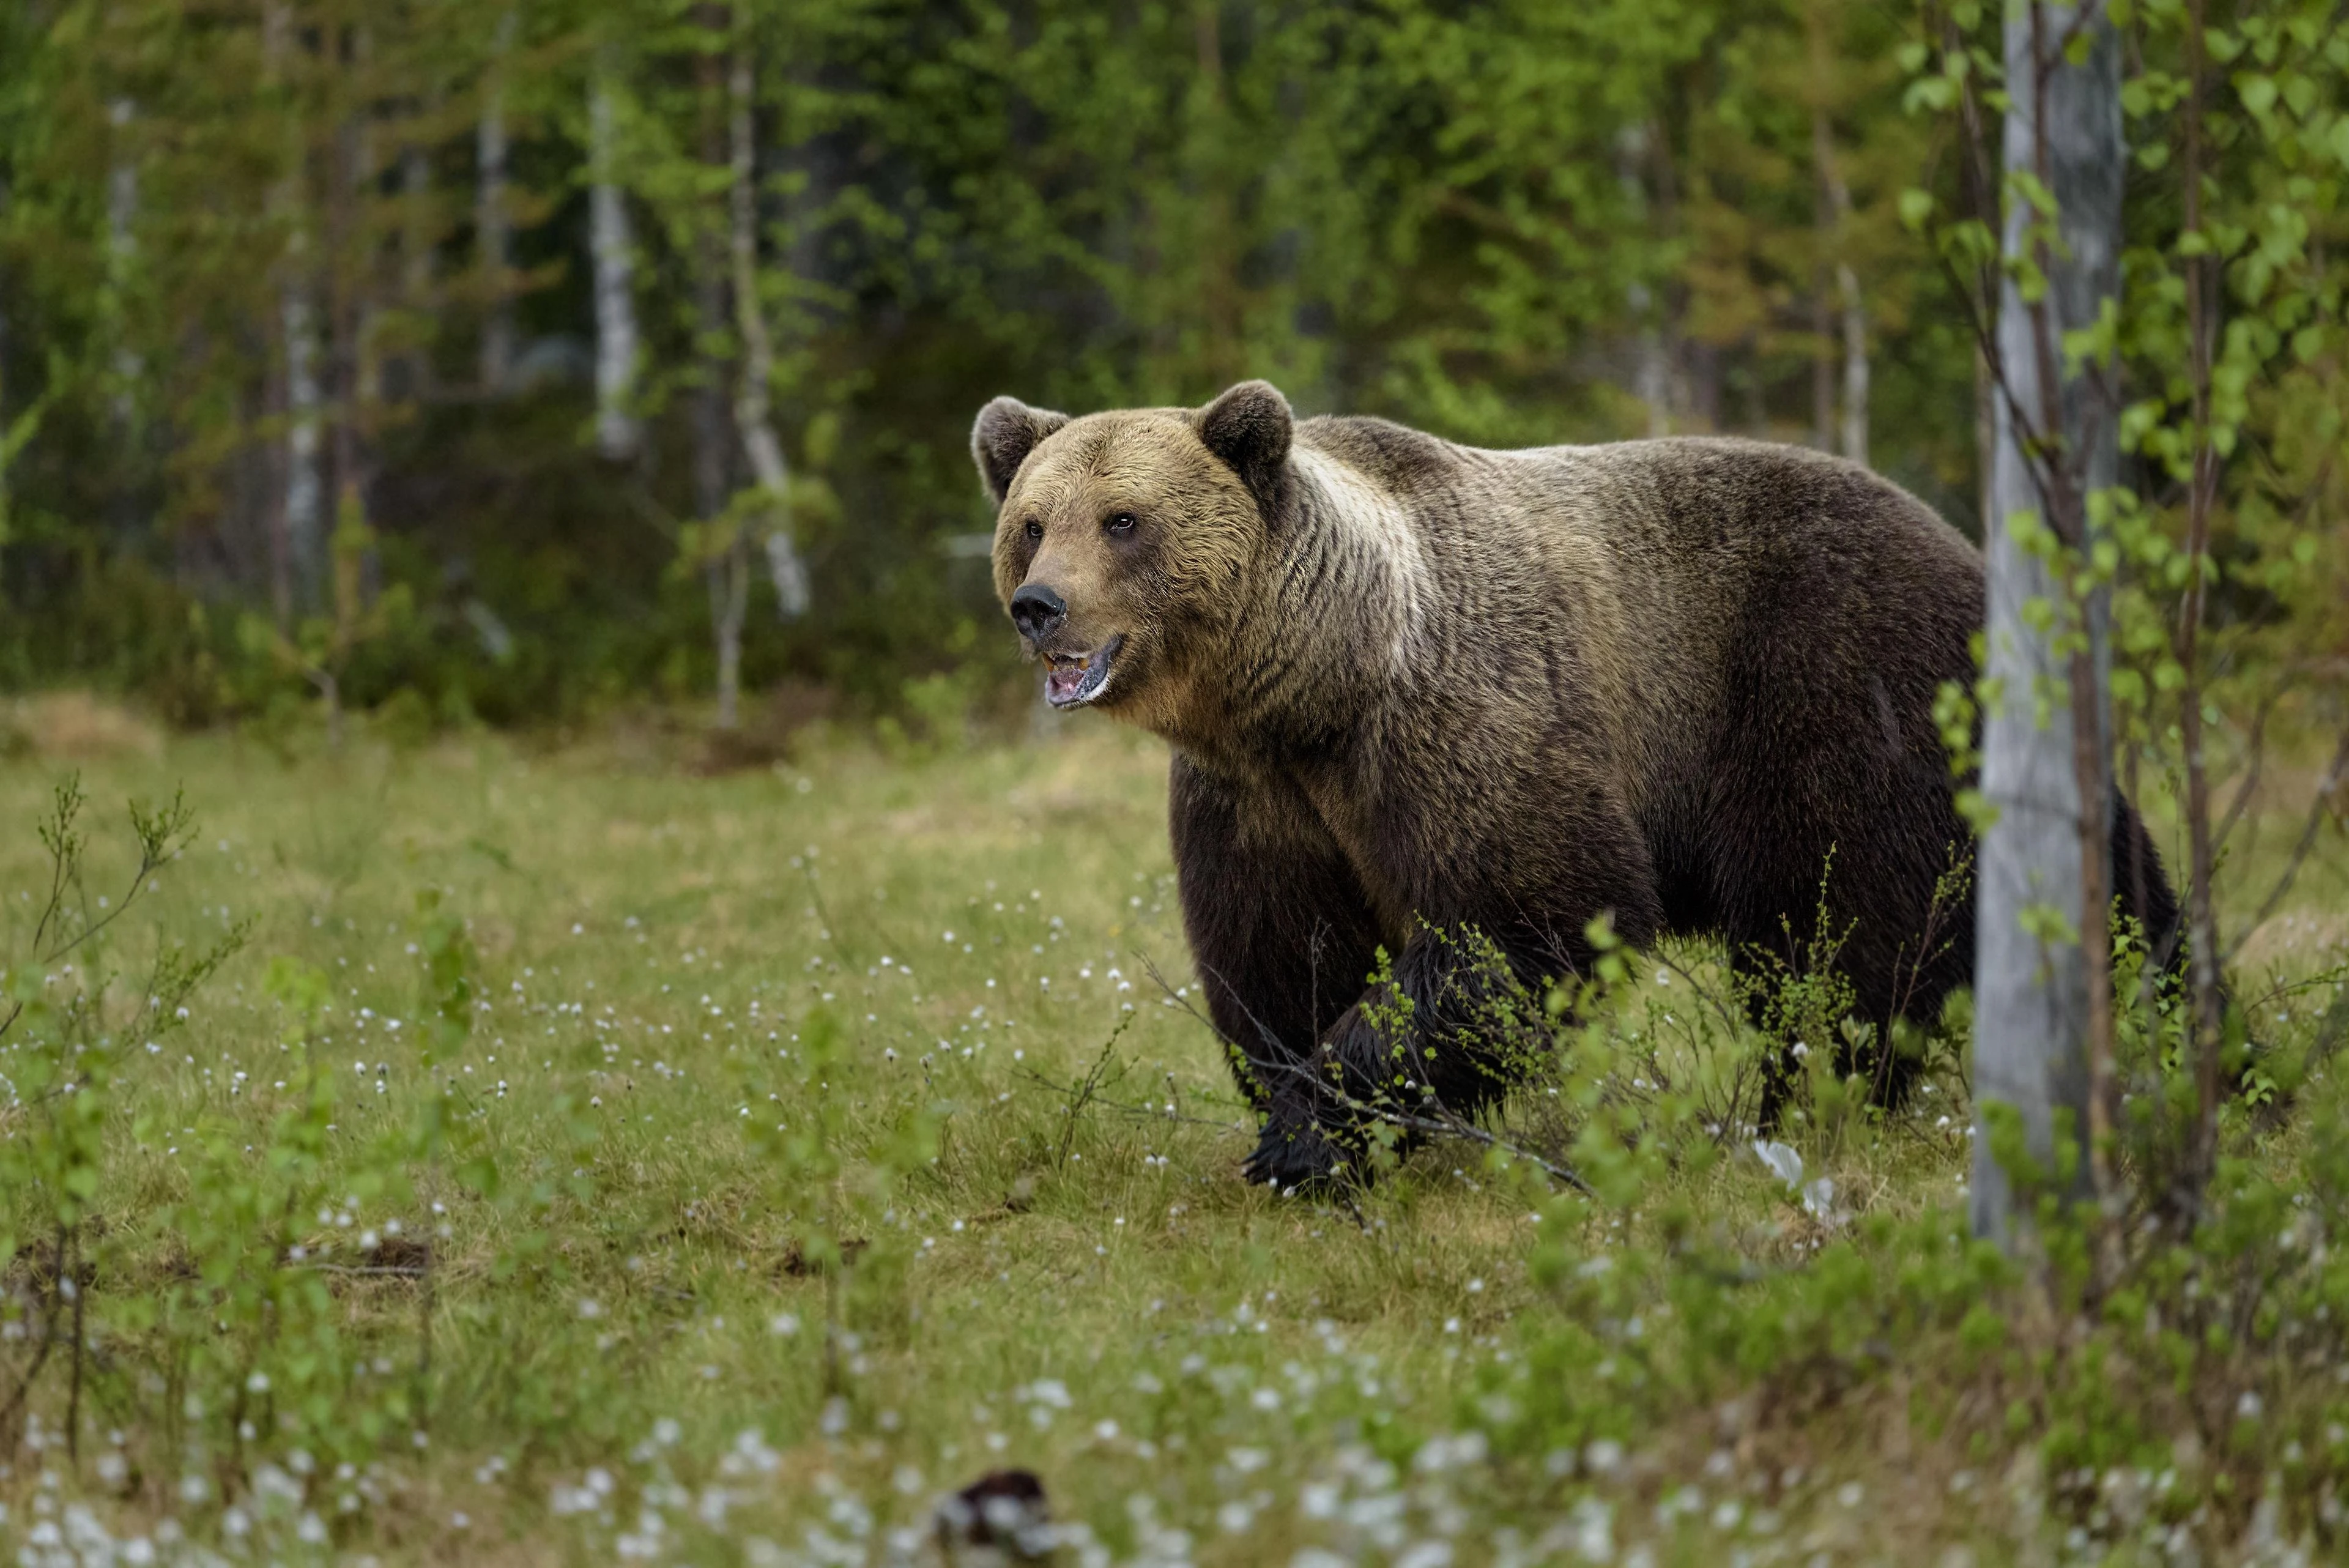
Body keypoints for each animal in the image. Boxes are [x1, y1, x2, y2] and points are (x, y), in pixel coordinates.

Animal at [971, 380, 2182, 1189]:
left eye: (1125, 519)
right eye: (1031, 521)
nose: (1039, 604)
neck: (1313, 688)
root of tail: (1967, 546)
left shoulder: (1459, 724)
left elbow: (1526, 918)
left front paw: (1309, 1134)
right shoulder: (1261, 799)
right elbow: (1278, 952)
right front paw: (1304, 1114)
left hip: (1839, 691)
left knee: (1842, 932)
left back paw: (1808, 1106)